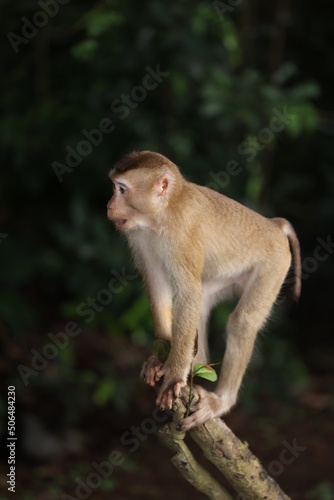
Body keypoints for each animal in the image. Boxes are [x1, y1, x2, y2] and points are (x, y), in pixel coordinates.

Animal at [107, 150, 302, 432]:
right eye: (113, 187)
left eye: (122, 189)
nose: (109, 206)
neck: (162, 214)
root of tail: (274, 225)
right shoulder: (139, 236)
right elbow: (157, 283)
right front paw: (159, 351)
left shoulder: (181, 236)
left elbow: (187, 293)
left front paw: (174, 377)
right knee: (202, 304)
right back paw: (197, 367)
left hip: (274, 266)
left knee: (240, 322)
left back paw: (221, 401)